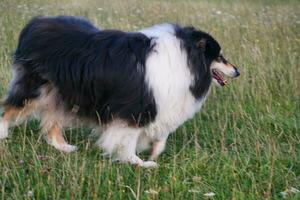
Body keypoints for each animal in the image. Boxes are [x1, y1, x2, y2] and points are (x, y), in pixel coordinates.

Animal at [0, 16, 239, 168]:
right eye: (219, 56)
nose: (237, 71)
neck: (187, 58)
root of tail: (35, 24)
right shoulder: (135, 108)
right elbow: (129, 138)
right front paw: (138, 162)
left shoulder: (158, 105)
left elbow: (160, 135)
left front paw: (154, 151)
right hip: (37, 88)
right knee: (10, 107)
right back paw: (3, 133)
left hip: (62, 93)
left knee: (51, 122)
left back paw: (64, 147)